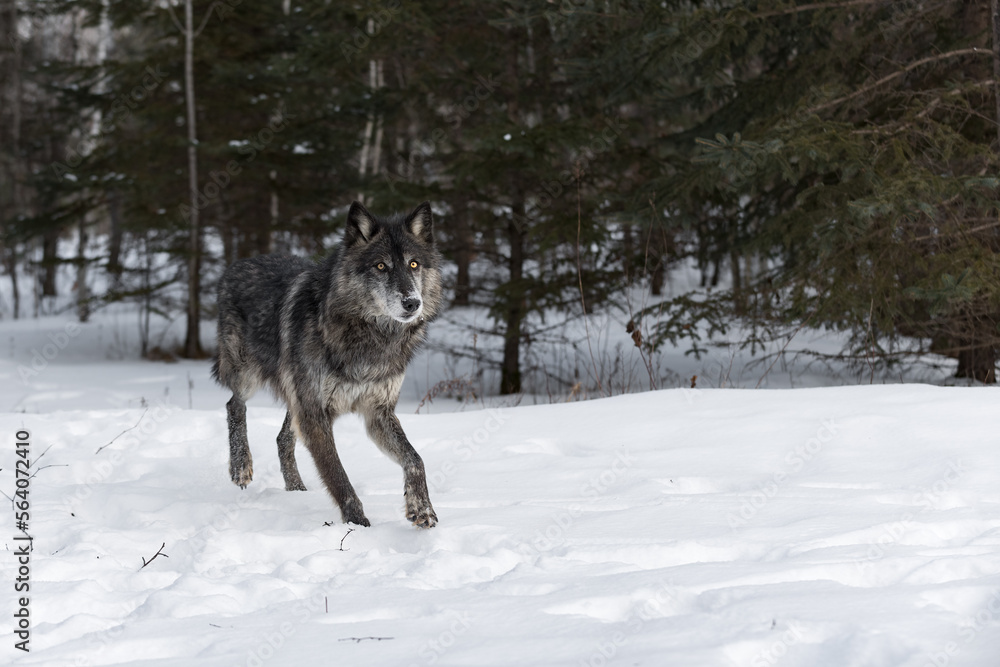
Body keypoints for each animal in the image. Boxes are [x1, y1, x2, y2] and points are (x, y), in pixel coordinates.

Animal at [211, 201, 443, 528]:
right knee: (234, 404)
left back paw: (296, 489)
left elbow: (415, 459)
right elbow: (338, 476)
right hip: (249, 375)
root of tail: (236, 265)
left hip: (295, 397)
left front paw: (421, 508)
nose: (412, 303)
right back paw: (241, 467)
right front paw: (359, 525)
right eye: (380, 266)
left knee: (282, 437)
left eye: (413, 264)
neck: (369, 337)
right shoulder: (314, 414)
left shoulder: (377, 413)